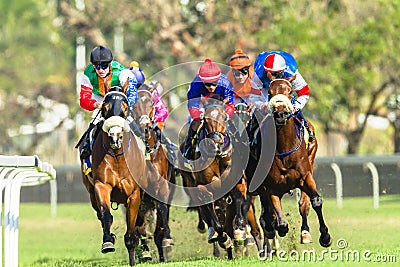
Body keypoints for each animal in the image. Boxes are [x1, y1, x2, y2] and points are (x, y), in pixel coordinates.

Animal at [79, 86, 150, 267]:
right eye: (104, 108)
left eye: (125, 107)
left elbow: (132, 228)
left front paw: (133, 255)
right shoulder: (101, 186)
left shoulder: (134, 194)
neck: (118, 157)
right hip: (91, 194)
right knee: (99, 213)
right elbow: (106, 216)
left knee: (140, 221)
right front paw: (108, 241)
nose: (115, 137)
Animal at [255, 78, 332, 256]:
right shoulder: (271, 187)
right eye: (270, 92)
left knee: (303, 204)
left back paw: (305, 233)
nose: (280, 114)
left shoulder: (305, 176)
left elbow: (315, 201)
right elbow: (279, 220)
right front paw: (278, 229)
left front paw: (325, 237)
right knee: (266, 216)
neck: (283, 148)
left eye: (290, 92)